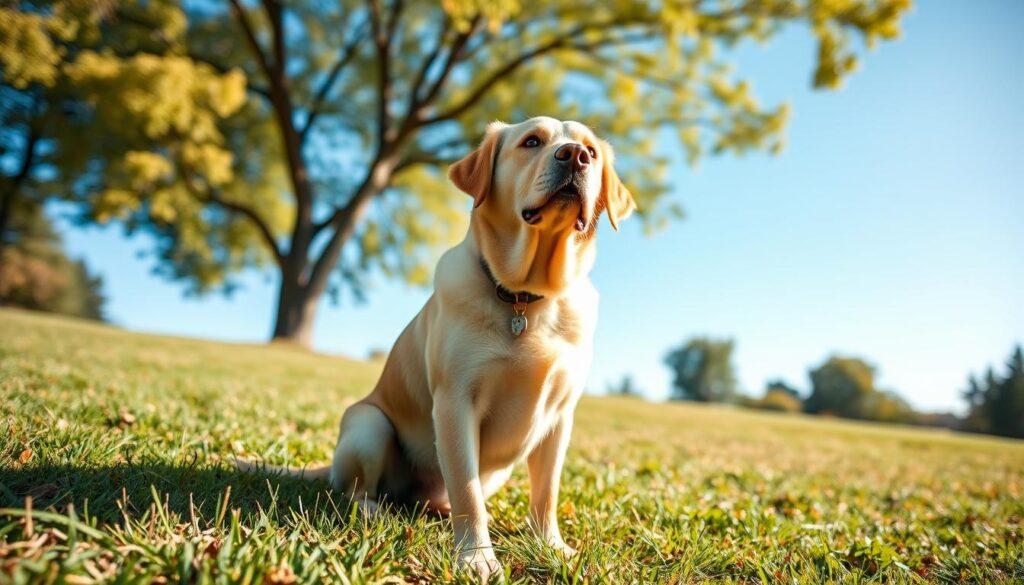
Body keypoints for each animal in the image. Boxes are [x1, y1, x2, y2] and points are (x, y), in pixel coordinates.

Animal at [239, 116, 630, 577]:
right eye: (532, 141)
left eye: (592, 150)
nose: (575, 155)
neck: (527, 298)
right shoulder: (455, 401)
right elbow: (467, 491)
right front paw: (477, 558)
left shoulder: (560, 416)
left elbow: (546, 492)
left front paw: (551, 546)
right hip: (368, 424)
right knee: (358, 491)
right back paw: (376, 511)